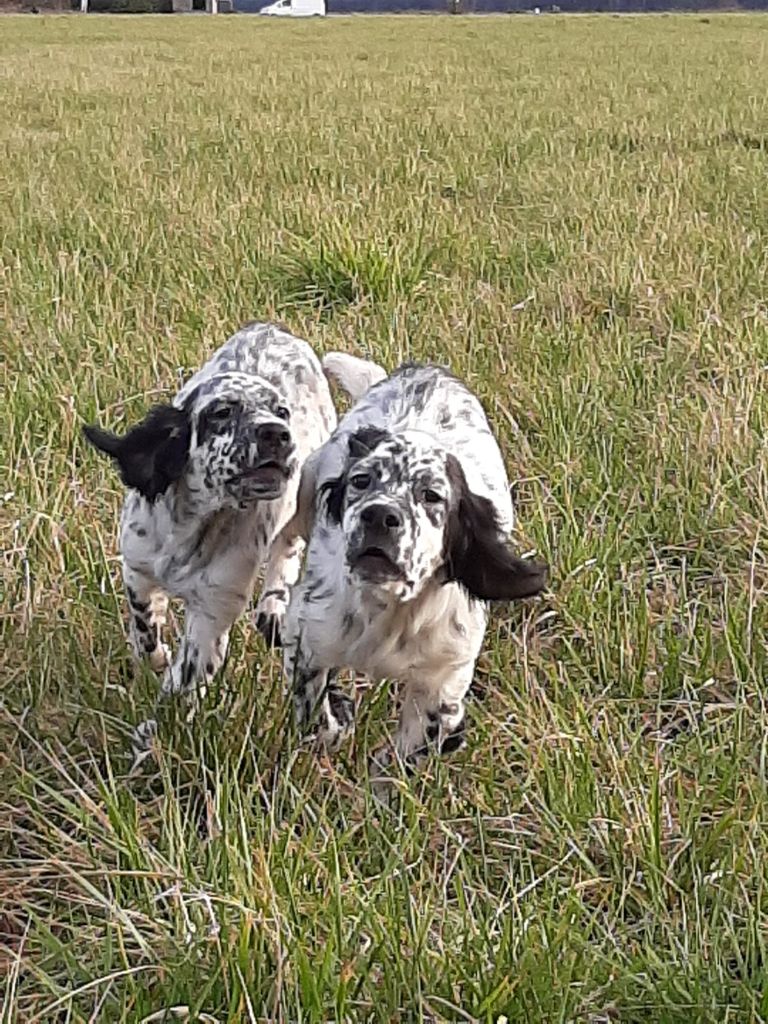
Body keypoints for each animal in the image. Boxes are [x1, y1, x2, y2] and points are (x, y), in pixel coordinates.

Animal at [83, 323, 335, 708]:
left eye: (282, 411)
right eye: (222, 412)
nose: (278, 433)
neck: (194, 523)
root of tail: (271, 327)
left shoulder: (213, 610)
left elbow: (186, 676)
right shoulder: (137, 567)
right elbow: (144, 624)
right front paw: (154, 659)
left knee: (287, 546)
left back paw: (273, 608)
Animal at [276, 352, 548, 782]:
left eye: (431, 495)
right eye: (361, 480)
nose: (379, 515)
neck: (388, 608)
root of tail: (425, 370)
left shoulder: (443, 676)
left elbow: (416, 746)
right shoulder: (308, 635)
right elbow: (316, 710)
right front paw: (338, 723)